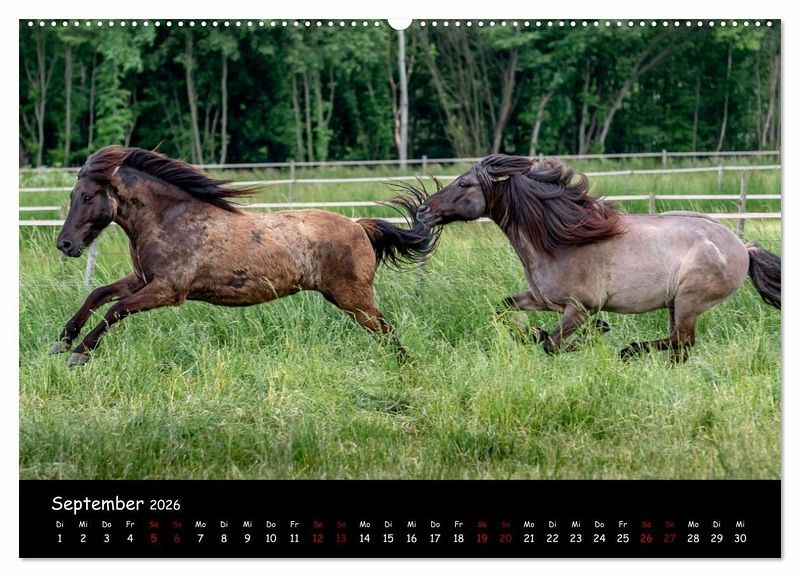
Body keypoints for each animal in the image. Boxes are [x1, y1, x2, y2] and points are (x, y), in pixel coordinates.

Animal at [50, 146, 438, 366]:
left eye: (87, 197)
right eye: (73, 195)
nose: (65, 244)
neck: (171, 218)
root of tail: (359, 226)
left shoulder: (168, 290)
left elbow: (116, 309)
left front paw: (79, 353)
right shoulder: (143, 279)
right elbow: (98, 294)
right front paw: (62, 341)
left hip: (354, 299)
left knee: (387, 330)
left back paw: (405, 368)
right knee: (385, 331)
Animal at [415, 155, 781, 362]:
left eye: (465, 183)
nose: (423, 210)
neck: (560, 242)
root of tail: (742, 247)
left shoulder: (580, 307)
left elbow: (553, 345)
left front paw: (591, 338)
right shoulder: (544, 300)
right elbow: (502, 310)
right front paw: (534, 333)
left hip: (689, 301)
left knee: (682, 343)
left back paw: (628, 351)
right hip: (675, 304)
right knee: (680, 348)